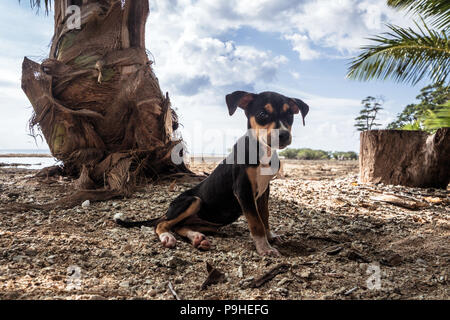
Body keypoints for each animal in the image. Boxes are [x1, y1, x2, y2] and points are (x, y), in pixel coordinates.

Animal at [115, 91, 310, 256]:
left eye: (289, 116)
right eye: (262, 114)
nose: (283, 135)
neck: (262, 151)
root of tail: (168, 210)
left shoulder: (264, 191)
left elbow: (264, 216)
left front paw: (270, 237)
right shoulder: (243, 190)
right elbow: (256, 222)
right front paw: (264, 248)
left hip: (208, 222)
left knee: (179, 226)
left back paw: (196, 237)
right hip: (193, 200)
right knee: (162, 224)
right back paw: (167, 237)